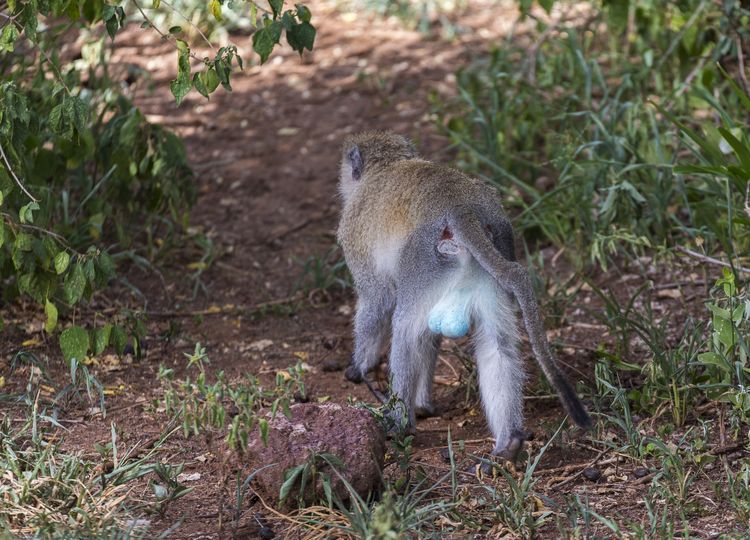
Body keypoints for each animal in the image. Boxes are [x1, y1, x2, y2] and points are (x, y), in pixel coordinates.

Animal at [336, 131, 592, 461]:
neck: (386, 167)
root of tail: (461, 206)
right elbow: (430, 337)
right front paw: (424, 403)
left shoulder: (354, 233)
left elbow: (378, 300)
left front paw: (358, 368)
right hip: (492, 262)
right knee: (497, 345)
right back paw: (510, 441)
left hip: (422, 260)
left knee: (404, 329)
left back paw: (400, 422)